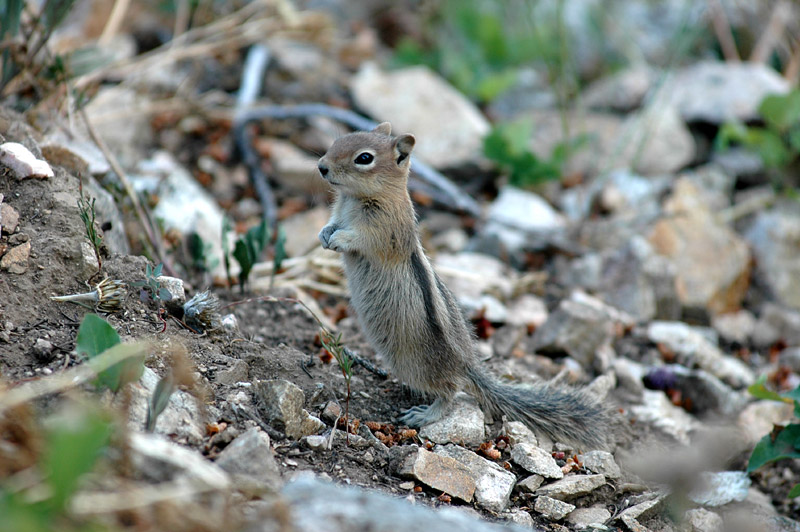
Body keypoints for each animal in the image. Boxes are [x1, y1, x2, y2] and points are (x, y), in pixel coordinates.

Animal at [316, 121, 608, 448]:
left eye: (364, 158)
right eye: (339, 140)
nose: (321, 167)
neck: (354, 198)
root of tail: (466, 365)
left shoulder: (385, 230)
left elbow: (362, 239)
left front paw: (340, 239)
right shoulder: (340, 212)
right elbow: (332, 223)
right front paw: (325, 233)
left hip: (419, 366)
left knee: (450, 392)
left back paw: (424, 414)